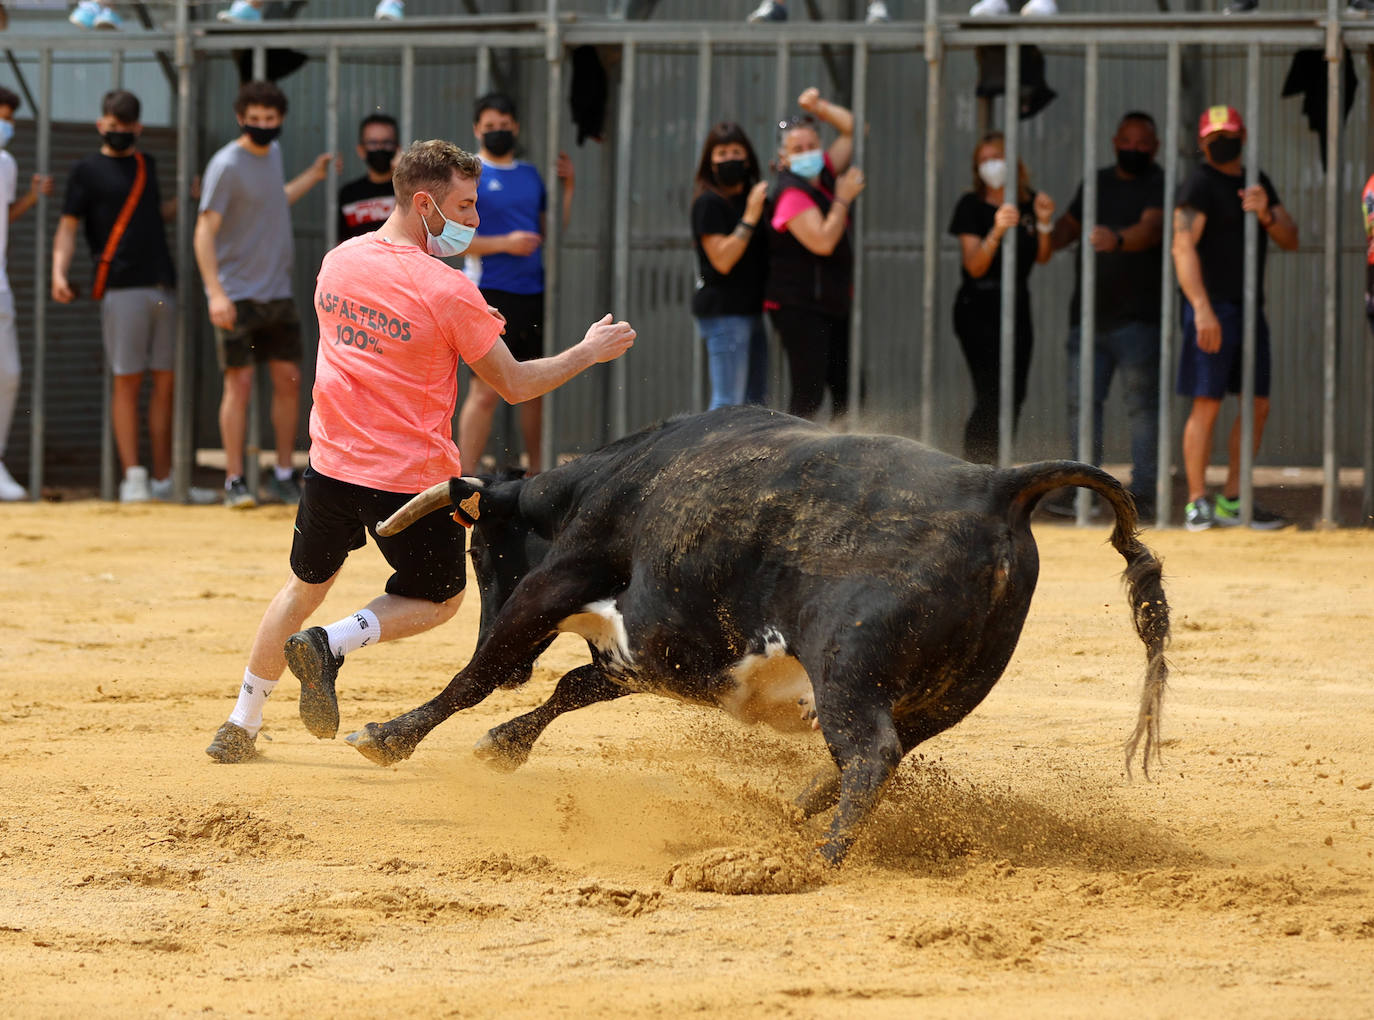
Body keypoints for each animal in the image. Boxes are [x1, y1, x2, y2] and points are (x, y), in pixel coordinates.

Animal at [346, 404, 1170, 868]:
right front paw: (502, 745)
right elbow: (573, 687)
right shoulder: (653, 651)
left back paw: (824, 853)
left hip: (847, 667)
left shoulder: (557, 584)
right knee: (880, 755)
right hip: (947, 693)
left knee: (870, 752)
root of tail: (997, 485)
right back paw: (795, 815)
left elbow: (478, 674)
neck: (605, 480)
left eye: (480, 551)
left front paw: (389, 736)